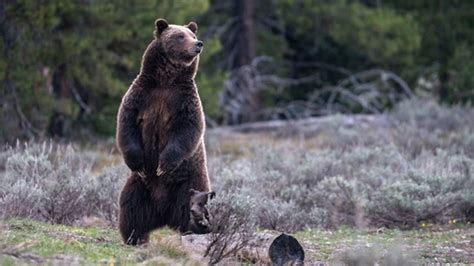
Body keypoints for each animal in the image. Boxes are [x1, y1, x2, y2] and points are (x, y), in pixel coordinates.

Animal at [115, 17, 210, 244]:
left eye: (192, 34)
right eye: (180, 36)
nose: (198, 44)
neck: (166, 80)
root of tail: (164, 214)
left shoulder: (184, 101)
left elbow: (187, 130)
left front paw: (163, 165)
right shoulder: (141, 96)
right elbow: (127, 125)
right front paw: (139, 163)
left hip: (191, 182)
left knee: (190, 207)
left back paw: (194, 230)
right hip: (140, 187)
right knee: (131, 207)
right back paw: (134, 237)